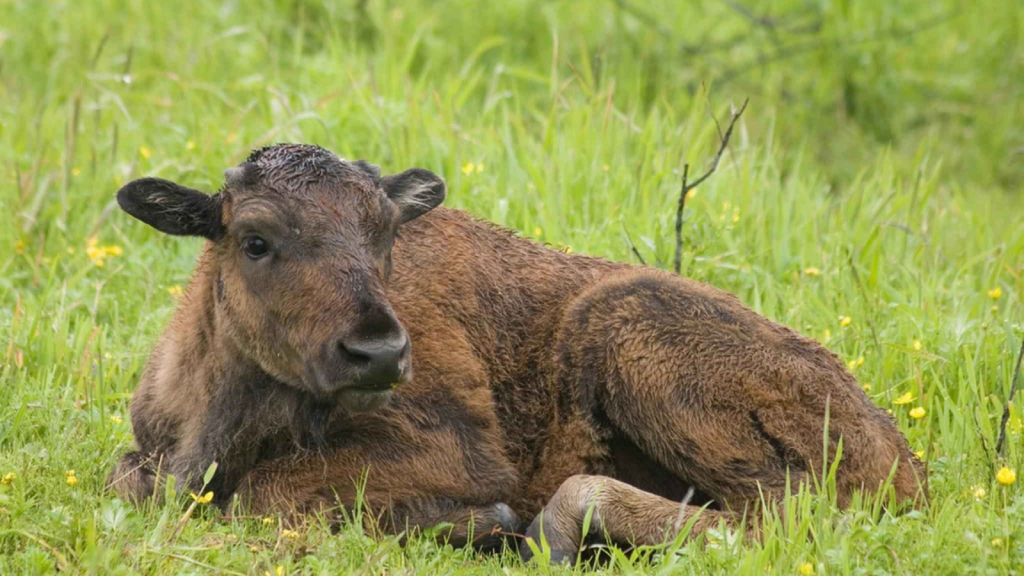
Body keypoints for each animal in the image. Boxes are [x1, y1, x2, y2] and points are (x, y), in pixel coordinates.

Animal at [108, 142, 925, 561]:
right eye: (256, 240)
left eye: (386, 235)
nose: (379, 352)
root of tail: (899, 452)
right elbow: (134, 479)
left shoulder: (459, 452)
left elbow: (265, 493)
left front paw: (478, 523)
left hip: (623, 329)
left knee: (781, 519)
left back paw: (556, 532)